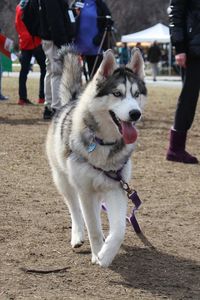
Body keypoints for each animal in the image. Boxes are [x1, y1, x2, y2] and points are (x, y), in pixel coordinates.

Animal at [46, 47, 147, 268]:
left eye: (136, 94)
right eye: (117, 94)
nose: (135, 113)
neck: (104, 143)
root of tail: (71, 101)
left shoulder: (116, 188)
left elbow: (119, 231)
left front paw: (106, 253)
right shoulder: (85, 190)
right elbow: (92, 225)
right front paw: (97, 252)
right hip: (63, 180)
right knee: (75, 209)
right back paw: (77, 235)